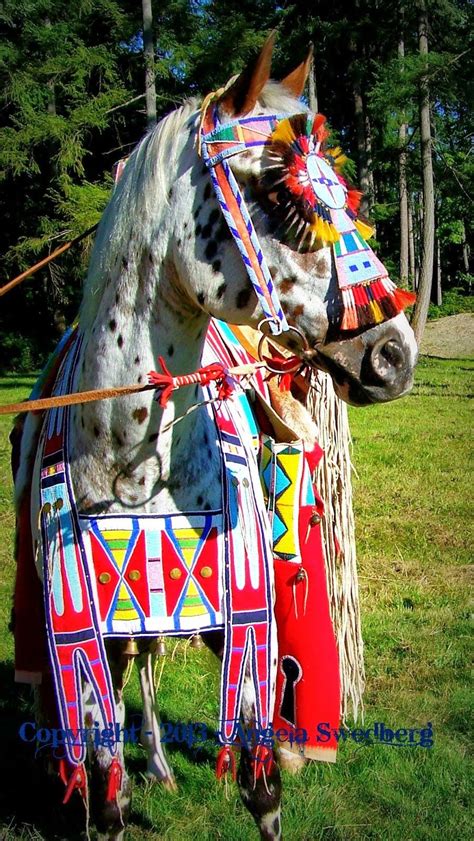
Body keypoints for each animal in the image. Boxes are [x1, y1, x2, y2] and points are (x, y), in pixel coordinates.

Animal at [11, 31, 416, 840]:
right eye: (283, 196)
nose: (396, 352)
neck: (134, 455)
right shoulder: (88, 638)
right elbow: (106, 787)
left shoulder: (247, 633)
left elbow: (262, 792)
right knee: (140, 669)